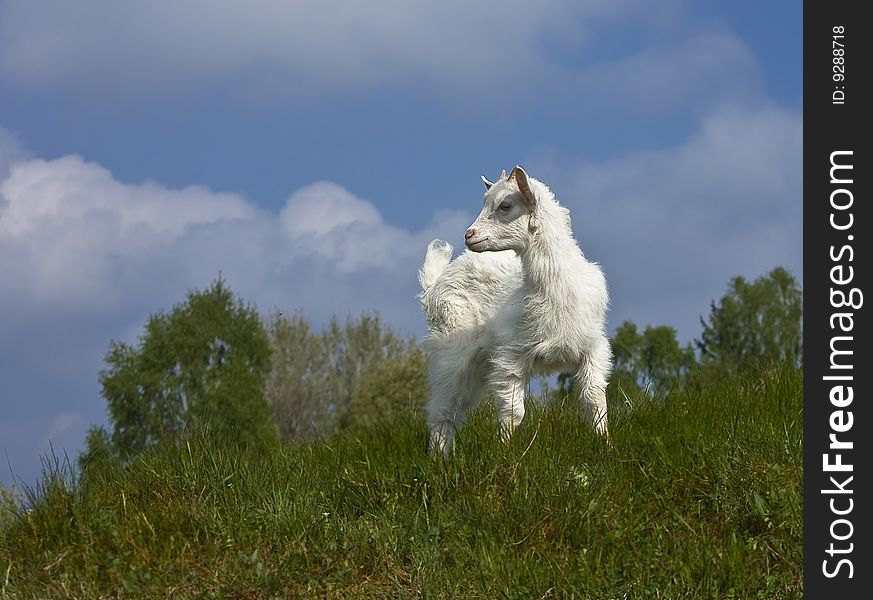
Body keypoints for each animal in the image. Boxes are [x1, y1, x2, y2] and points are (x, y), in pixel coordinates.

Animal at [418, 165, 608, 454]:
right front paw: (505, 454)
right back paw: (438, 460)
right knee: (442, 408)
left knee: (455, 408)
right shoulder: (510, 356)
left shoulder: (593, 348)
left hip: (477, 364)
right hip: (450, 350)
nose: (469, 235)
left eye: (505, 205)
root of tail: (435, 283)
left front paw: (607, 447)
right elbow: (512, 412)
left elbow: (594, 401)